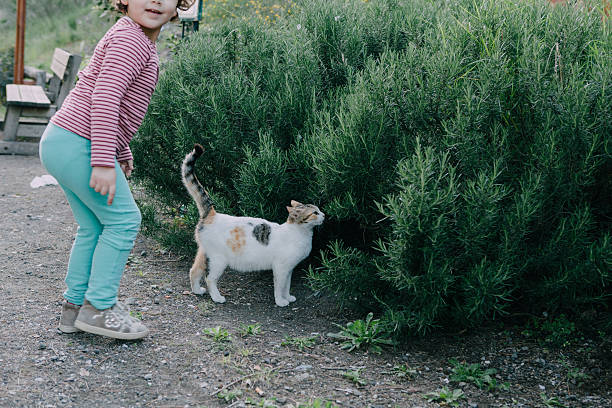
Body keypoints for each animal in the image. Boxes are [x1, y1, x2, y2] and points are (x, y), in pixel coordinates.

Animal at [180, 143, 326, 306]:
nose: (324, 215)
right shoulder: (281, 268)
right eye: (315, 213)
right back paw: (217, 298)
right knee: (209, 278)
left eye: (319, 210)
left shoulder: (289, 270)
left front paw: (288, 297)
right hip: (219, 260)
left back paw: (197, 291)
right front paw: (281, 301)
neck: (300, 233)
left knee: (194, 271)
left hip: (204, 253)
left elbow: (287, 286)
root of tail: (212, 214)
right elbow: (279, 286)